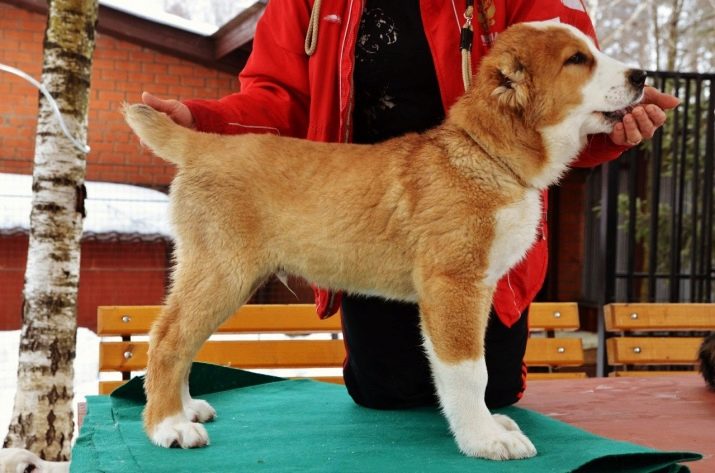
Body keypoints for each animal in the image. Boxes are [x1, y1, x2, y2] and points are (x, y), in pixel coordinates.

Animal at [124, 20, 648, 460]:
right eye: (577, 60)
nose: (642, 75)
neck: (486, 154)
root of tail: (204, 144)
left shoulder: (474, 291)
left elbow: (468, 372)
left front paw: (486, 427)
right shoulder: (453, 286)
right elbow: (468, 370)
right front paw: (482, 440)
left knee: (180, 336)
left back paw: (184, 408)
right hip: (223, 270)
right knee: (168, 337)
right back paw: (169, 425)